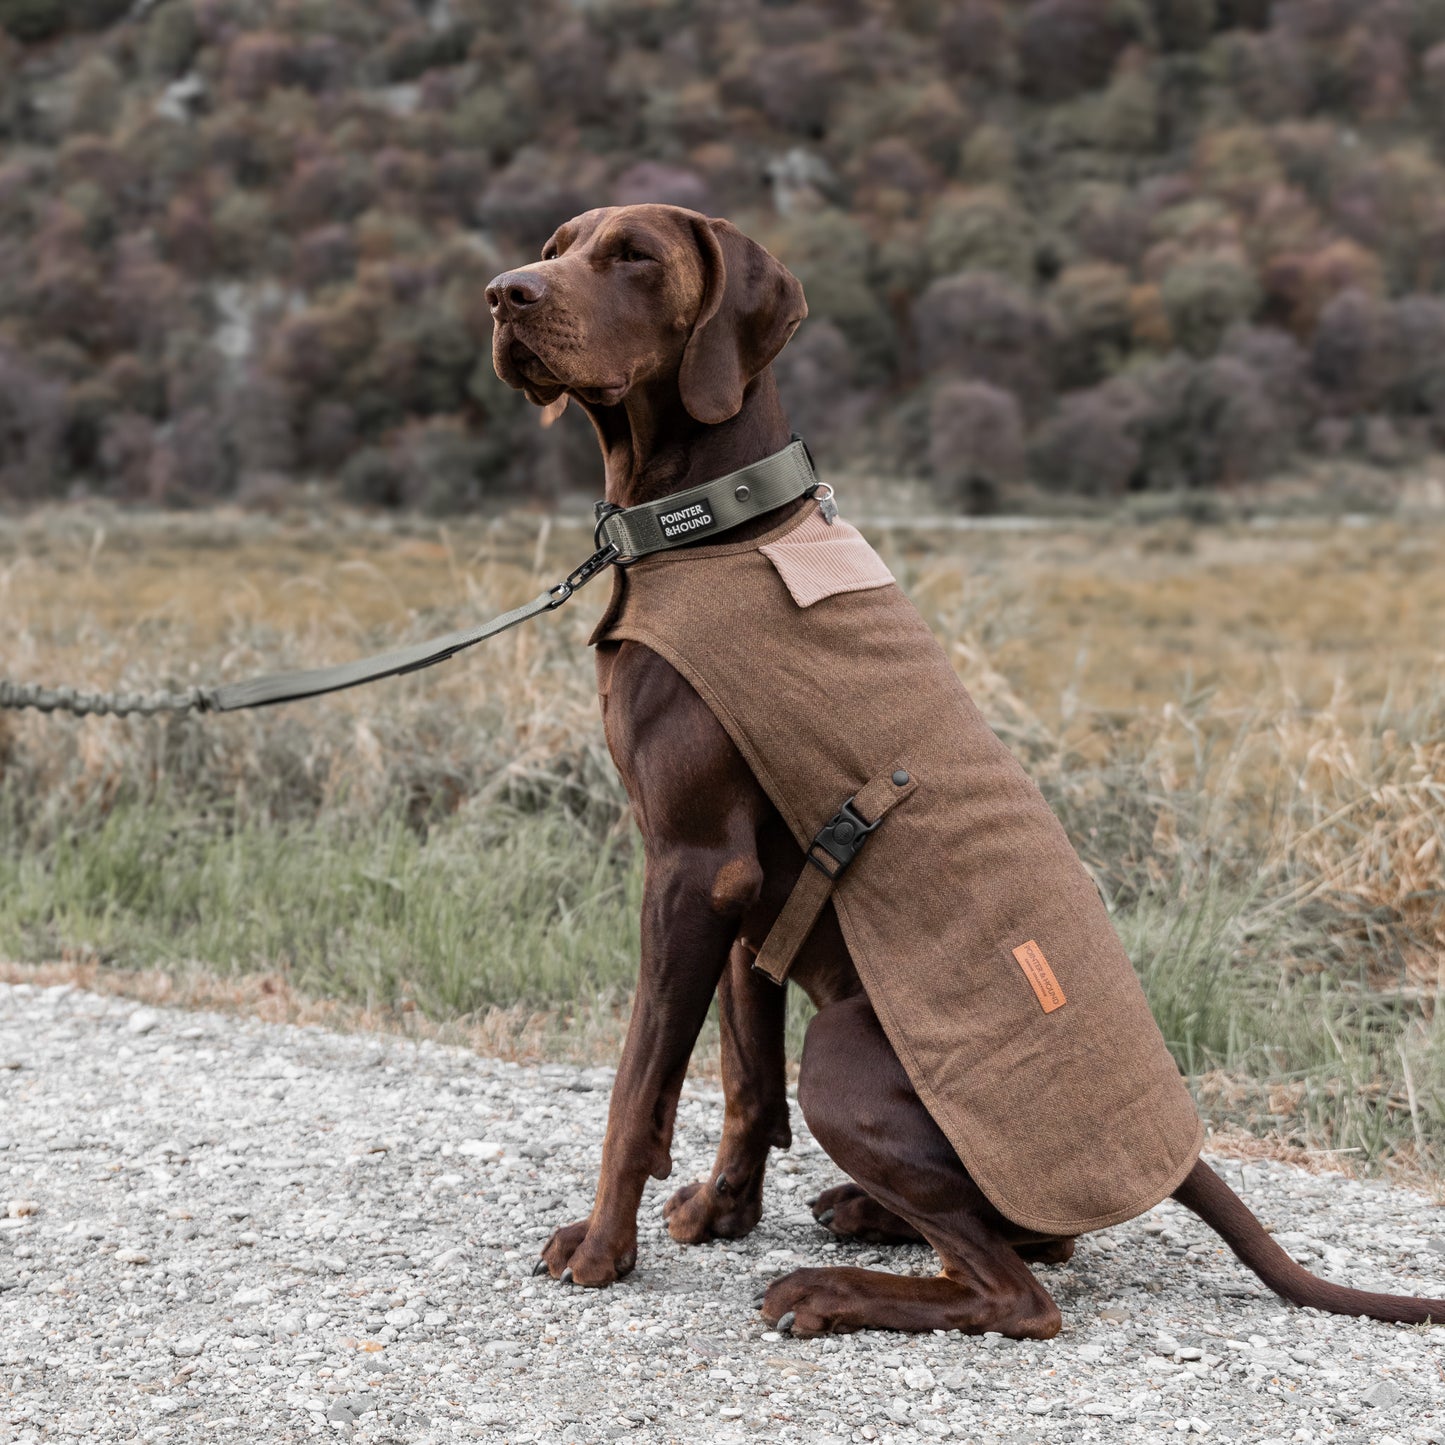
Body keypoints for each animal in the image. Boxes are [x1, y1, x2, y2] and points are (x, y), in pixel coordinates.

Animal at [488, 200, 1445, 1329]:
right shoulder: (739, 893)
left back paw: (830, 1286)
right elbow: (741, 1078)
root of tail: (1178, 1159)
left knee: (1017, 1289)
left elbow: (638, 1086)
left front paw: (603, 1248)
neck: (712, 521)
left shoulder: (691, 865)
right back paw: (860, 1214)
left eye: (634, 255)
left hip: (847, 1057)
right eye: (556, 244)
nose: (504, 293)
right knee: (1031, 1238)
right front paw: (720, 1212)